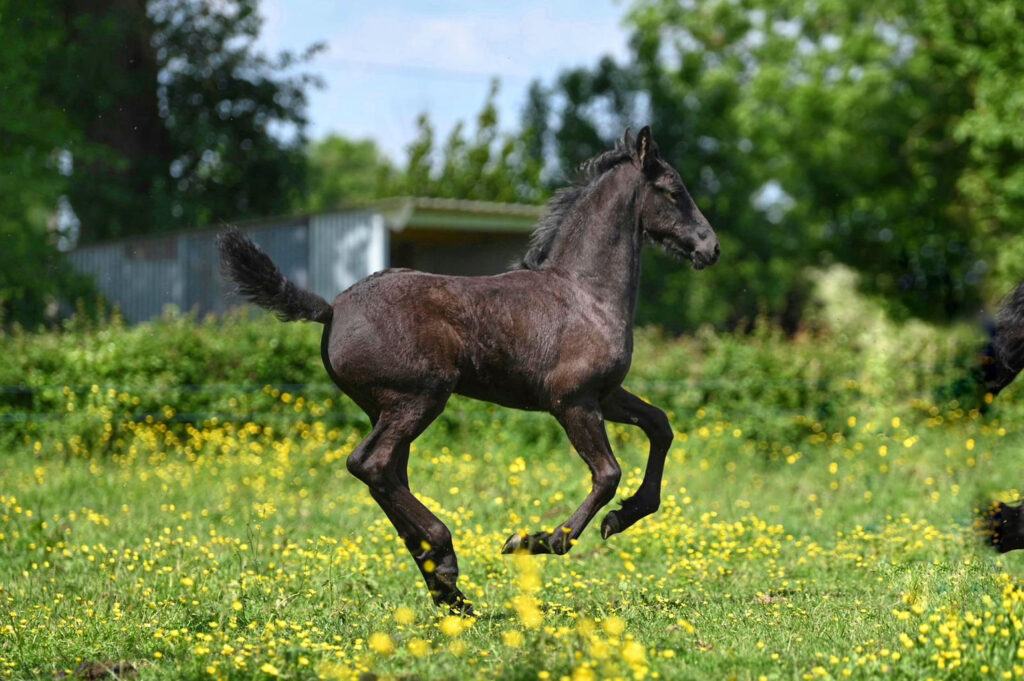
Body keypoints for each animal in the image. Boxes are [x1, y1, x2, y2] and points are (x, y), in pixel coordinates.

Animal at [218, 126, 720, 614]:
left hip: (385, 409)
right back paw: (446, 559)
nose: (710, 248)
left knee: (387, 476)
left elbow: (660, 426)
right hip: (419, 399)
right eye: (673, 190)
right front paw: (538, 539)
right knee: (370, 464)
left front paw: (624, 515)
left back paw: (446, 586)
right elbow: (608, 473)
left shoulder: (607, 394)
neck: (584, 293)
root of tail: (332, 309)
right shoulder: (573, 401)